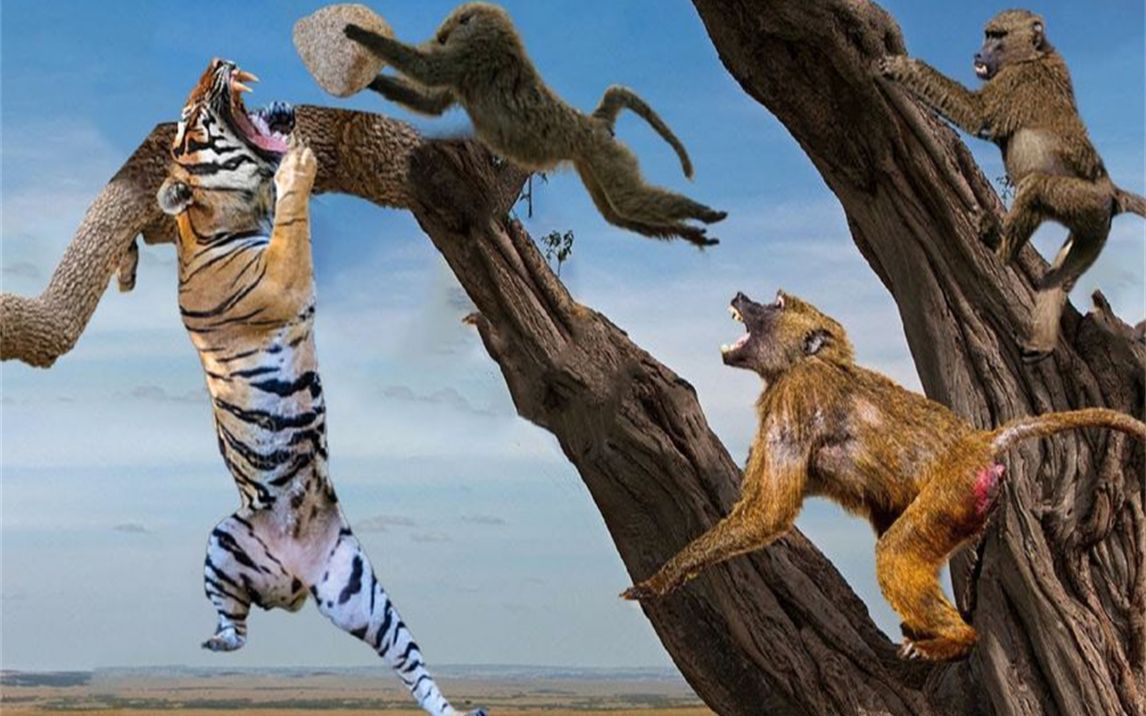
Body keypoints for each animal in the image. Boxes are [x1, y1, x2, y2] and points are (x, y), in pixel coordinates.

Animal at [156, 58, 485, 716]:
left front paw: (284, 125)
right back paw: (215, 642)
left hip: (361, 595)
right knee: (235, 624)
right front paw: (297, 164)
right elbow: (293, 219)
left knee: (413, 668)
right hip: (224, 543)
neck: (215, 221)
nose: (215, 64)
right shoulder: (281, 277)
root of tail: (294, 584)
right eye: (186, 118)